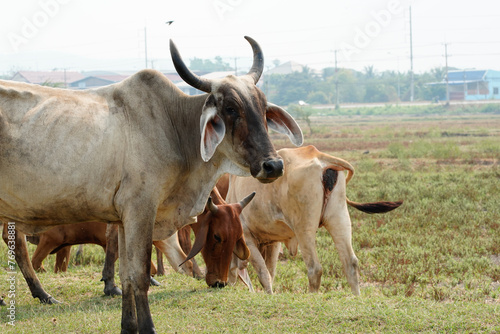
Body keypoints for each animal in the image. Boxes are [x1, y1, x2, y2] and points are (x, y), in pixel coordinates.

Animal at [0, 37, 302, 334]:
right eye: (230, 109)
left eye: (263, 109)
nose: (273, 165)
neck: (174, 127)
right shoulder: (141, 210)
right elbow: (140, 274)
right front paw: (147, 327)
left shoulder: (122, 219)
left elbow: (126, 274)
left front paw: (128, 326)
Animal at [227, 145, 402, 294]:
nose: (221, 284)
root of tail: (317, 155)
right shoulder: (273, 242)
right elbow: (270, 272)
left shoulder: (248, 237)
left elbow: (263, 274)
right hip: (339, 218)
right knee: (350, 263)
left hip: (303, 229)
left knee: (314, 269)